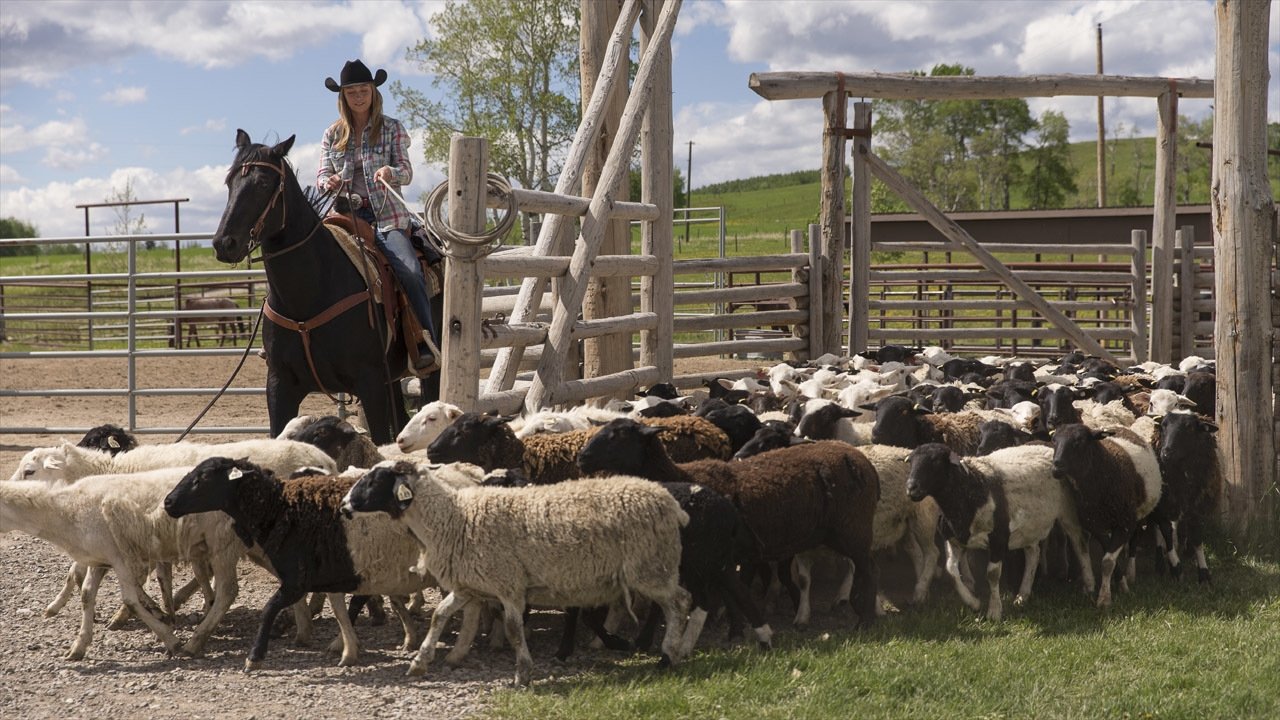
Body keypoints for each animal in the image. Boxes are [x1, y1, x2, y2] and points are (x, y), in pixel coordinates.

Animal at [207, 128, 432, 443]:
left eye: (263, 183)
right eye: (229, 182)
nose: (224, 243)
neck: (309, 295)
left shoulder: (371, 382)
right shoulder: (280, 385)